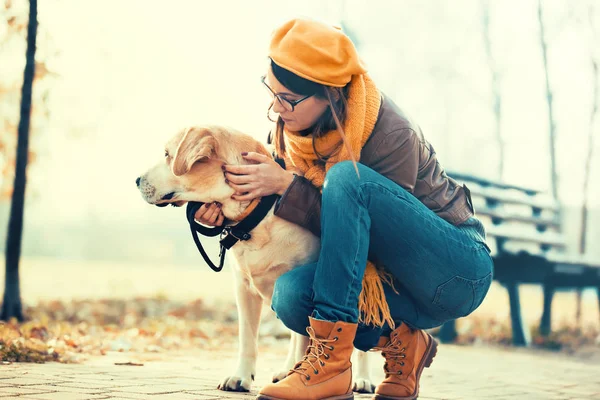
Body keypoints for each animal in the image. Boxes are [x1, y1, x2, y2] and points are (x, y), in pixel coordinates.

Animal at [136, 126, 376, 394]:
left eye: (168, 155)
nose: (136, 180)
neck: (259, 214)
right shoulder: (243, 288)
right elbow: (248, 338)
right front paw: (240, 377)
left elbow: (308, 340)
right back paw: (286, 370)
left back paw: (362, 379)